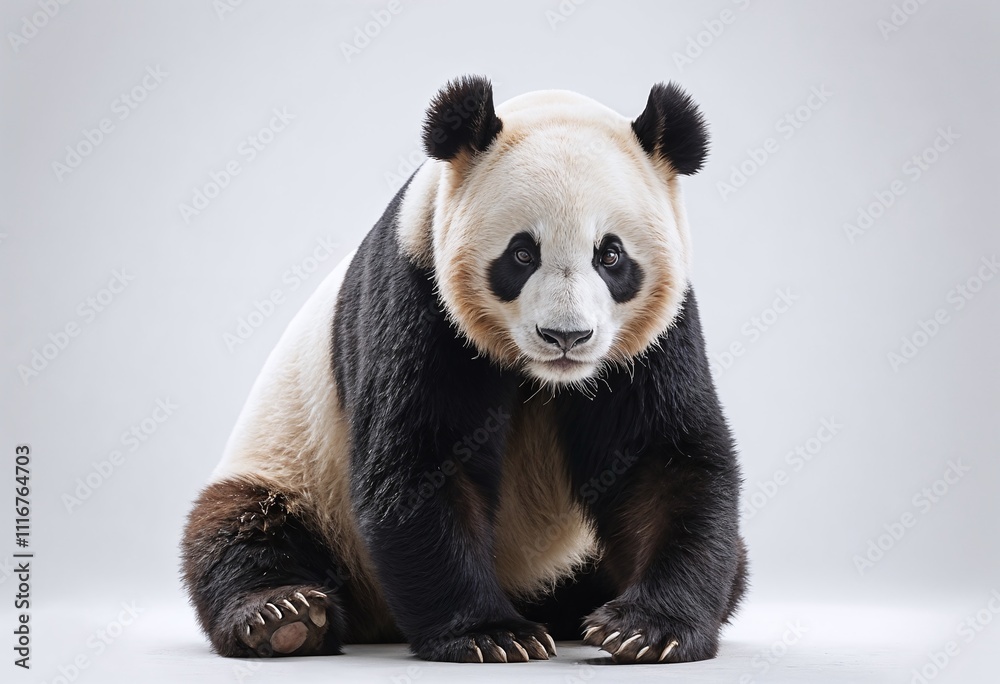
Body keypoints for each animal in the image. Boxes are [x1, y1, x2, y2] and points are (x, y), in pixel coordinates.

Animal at [181, 75, 747, 665]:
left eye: (610, 255)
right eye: (522, 254)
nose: (566, 337)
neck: (544, 377)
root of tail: (378, 619)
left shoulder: (655, 336)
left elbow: (661, 464)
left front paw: (646, 629)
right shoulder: (417, 291)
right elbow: (425, 459)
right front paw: (491, 635)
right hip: (294, 468)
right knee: (242, 527)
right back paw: (284, 616)